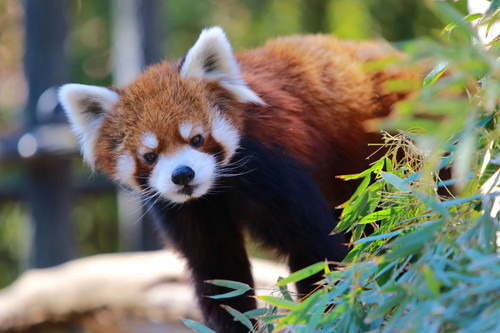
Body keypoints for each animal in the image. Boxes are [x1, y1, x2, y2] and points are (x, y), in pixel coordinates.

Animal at [57, 27, 418, 330]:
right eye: (150, 156)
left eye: (197, 139)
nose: (182, 175)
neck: (217, 189)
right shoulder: (189, 210)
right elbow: (221, 277)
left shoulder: (273, 168)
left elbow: (318, 251)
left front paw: (326, 312)